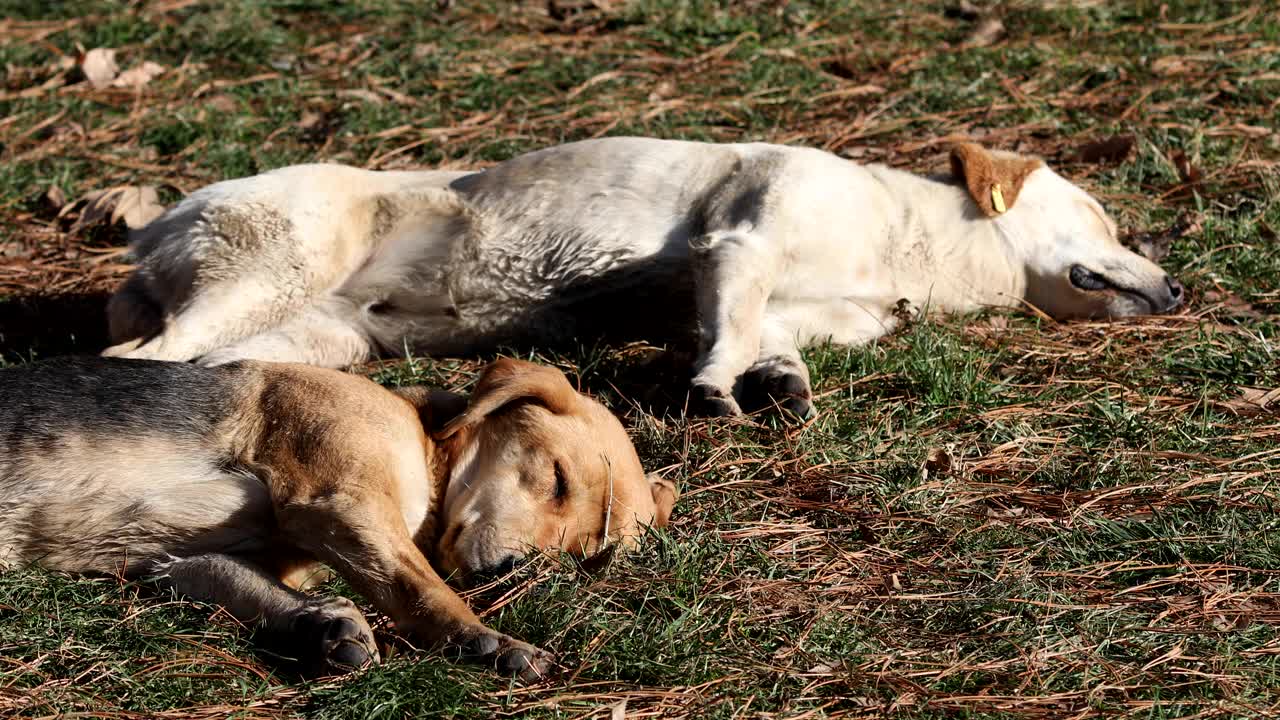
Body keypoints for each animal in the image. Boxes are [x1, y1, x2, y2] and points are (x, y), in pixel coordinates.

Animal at [0, 356, 680, 681]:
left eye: (589, 559)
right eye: (557, 477)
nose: (514, 574)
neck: (425, 440)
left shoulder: (184, 561)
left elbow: (251, 585)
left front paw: (322, 625)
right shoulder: (339, 503)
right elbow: (423, 591)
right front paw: (485, 640)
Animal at [99, 137, 1177, 415]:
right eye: (1104, 220)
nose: (1177, 292)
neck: (901, 241)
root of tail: (152, 234)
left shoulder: (784, 304)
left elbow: (768, 343)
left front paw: (779, 388)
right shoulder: (736, 245)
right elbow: (729, 334)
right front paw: (713, 391)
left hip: (313, 335)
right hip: (274, 267)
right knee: (133, 358)